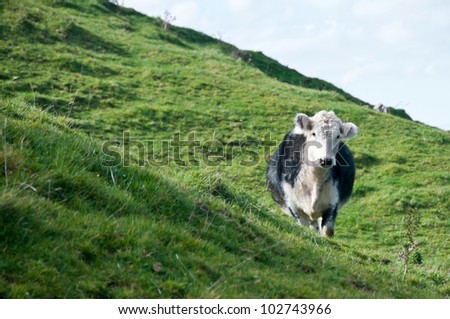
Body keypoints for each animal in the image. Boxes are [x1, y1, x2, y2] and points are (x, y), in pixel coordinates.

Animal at [268, 110, 358, 238]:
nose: (325, 160)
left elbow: (328, 232)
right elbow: (304, 227)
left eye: (338, 136)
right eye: (314, 133)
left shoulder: (332, 203)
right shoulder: (293, 206)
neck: (315, 179)